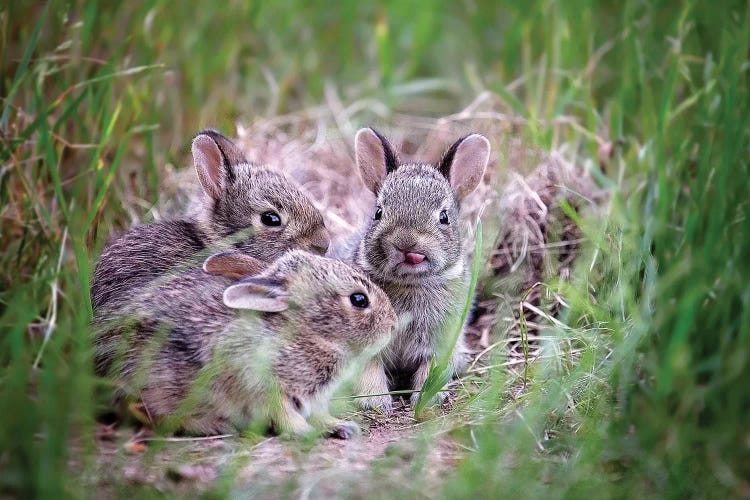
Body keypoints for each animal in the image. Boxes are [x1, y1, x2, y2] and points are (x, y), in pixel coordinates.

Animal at [95, 250, 400, 438]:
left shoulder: (313, 399)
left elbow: (319, 415)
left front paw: (341, 427)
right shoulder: (262, 385)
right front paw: (304, 432)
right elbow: (283, 415)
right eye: (359, 300)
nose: (394, 325)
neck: (305, 332)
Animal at [352, 129, 494, 414]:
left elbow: (430, 368)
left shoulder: (440, 341)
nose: (407, 243)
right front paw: (376, 402)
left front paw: (426, 399)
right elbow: (370, 367)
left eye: (444, 217)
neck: (410, 282)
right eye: (378, 213)